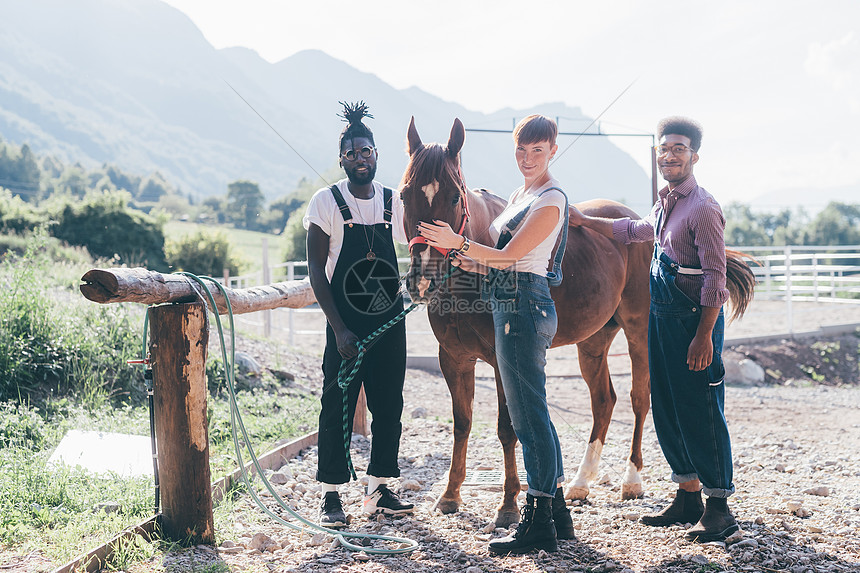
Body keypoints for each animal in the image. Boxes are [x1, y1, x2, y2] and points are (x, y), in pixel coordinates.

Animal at [404, 117, 652, 528]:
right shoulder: (453, 359)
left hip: (638, 331)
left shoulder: (503, 362)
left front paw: (507, 505)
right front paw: (450, 495)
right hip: (593, 341)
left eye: (455, 197)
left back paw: (631, 480)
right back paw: (581, 483)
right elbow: (462, 423)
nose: (423, 280)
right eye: (405, 195)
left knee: (638, 398)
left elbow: (507, 429)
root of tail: (633, 221)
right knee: (604, 401)